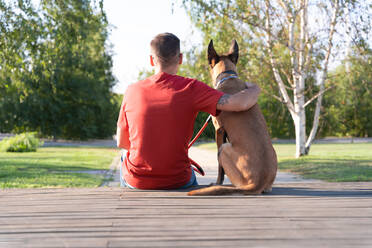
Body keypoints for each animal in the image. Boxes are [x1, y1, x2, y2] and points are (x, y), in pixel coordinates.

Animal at [189, 39, 276, 196]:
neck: (228, 76)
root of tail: (258, 183)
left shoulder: (219, 130)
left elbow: (220, 168)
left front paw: (217, 182)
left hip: (224, 149)